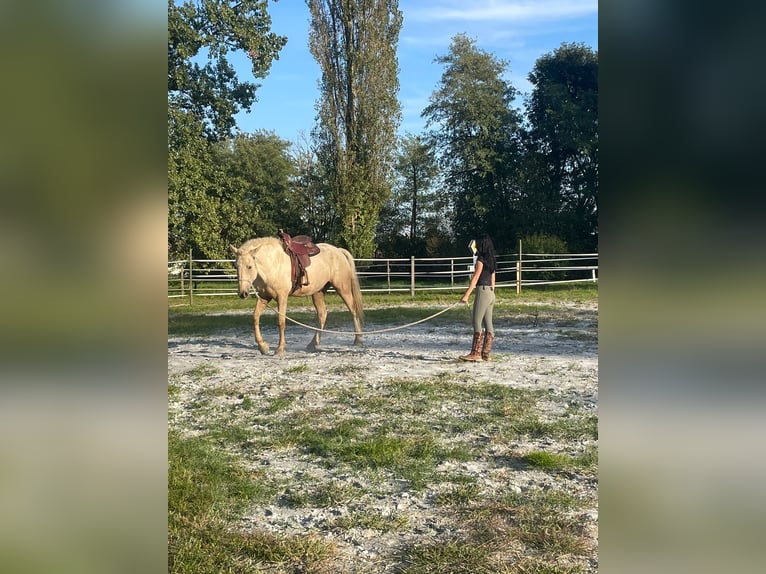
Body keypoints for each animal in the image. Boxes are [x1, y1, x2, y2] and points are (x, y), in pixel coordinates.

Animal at [231, 237, 364, 356]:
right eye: (236, 266)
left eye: (249, 266)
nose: (243, 293)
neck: (273, 264)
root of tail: (338, 251)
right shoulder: (264, 297)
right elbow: (255, 317)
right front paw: (263, 347)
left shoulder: (282, 297)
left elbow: (281, 322)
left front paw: (280, 349)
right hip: (318, 292)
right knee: (322, 314)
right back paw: (313, 343)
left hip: (343, 289)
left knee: (353, 310)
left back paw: (358, 340)